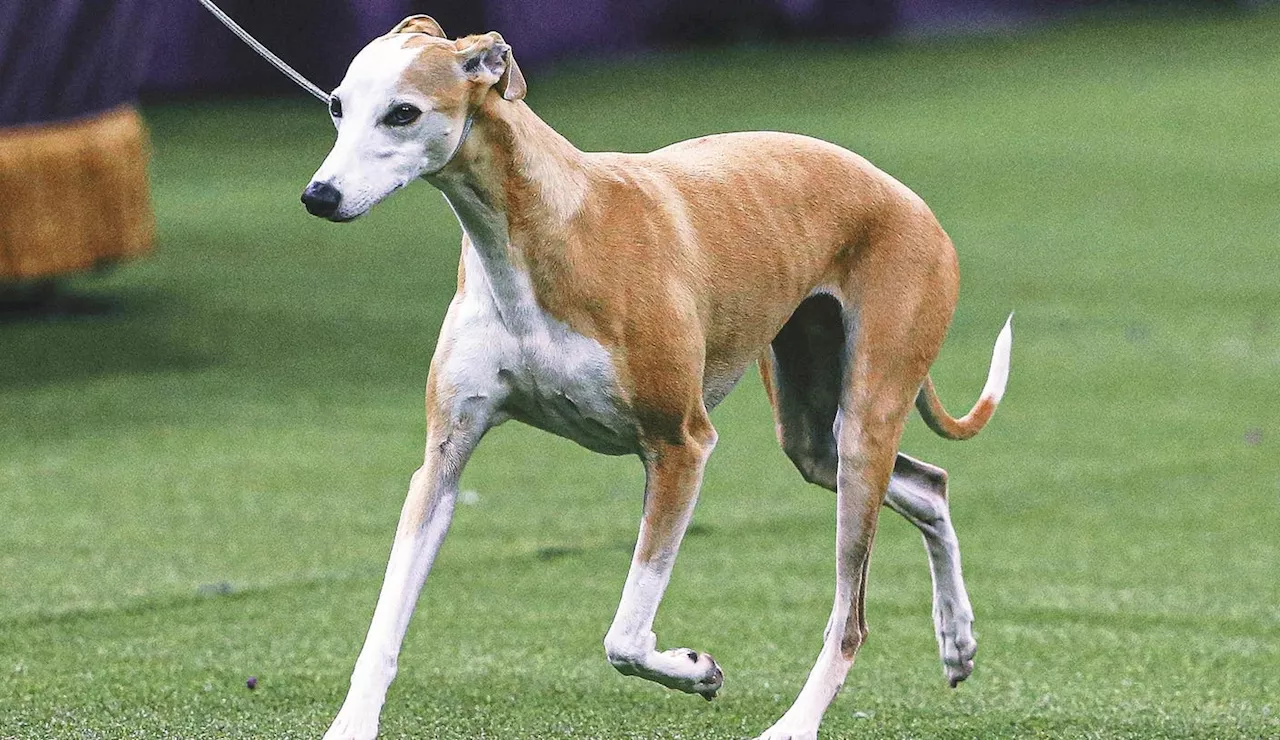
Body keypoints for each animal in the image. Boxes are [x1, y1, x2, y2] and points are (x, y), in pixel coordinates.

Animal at [304, 14, 1013, 732]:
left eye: (403, 112)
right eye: (337, 105)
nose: (318, 196)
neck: (543, 232)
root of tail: (906, 198)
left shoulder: (680, 445)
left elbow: (624, 635)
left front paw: (696, 670)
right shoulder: (444, 459)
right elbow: (386, 618)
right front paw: (352, 724)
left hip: (867, 418)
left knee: (851, 618)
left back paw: (795, 724)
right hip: (815, 439)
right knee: (929, 484)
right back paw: (957, 640)